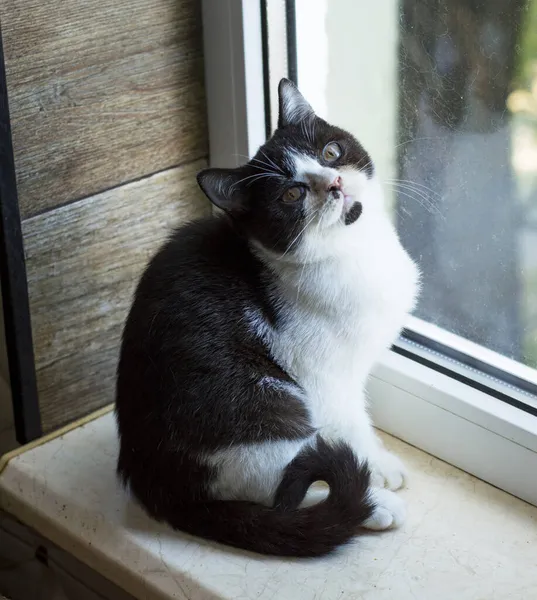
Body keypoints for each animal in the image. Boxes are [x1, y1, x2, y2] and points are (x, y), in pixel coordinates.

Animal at [116, 78, 418, 556]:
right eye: (291, 194)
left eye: (331, 152)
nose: (334, 182)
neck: (355, 251)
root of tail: (157, 486)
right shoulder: (325, 379)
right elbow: (351, 425)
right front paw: (377, 468)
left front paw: (381, 462)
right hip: (265, 409)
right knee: (284, 483)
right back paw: (372, 507)